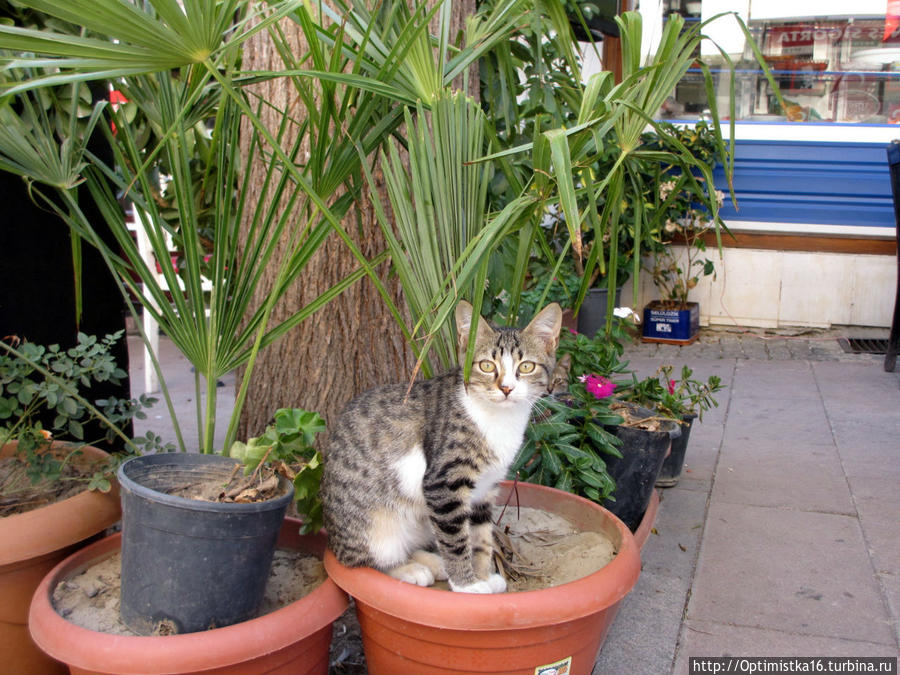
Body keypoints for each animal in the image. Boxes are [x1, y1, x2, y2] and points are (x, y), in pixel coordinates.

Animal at [322, 300, 564, 592]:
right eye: (486, 365)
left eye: (526, 367)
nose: (506, 388)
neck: (499, 418)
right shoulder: (443, 483)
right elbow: (455, 540)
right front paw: (466, 586)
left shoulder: (486, 487)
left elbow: (480, 537)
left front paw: (482, 576)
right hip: (375, 526)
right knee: (366, 561)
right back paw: (411, 569)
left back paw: (432, 562)